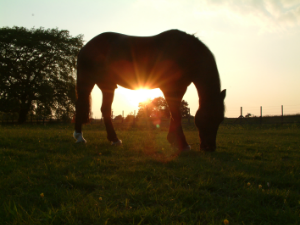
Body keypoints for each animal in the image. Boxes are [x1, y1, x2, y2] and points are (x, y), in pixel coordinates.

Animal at [74, 28, 226, 151]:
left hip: (108, 85)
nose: (209, 148)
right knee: (80, 104)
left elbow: (174, 113)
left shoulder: (179, 88)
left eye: (220, 119)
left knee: (105, 109)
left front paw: (173, 140)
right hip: (87, 81)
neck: (184, 52)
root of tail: (87, 46)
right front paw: (183, 145)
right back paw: (79, 137)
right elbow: (176, 114)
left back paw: (114, 140)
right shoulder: (169, 87)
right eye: (208, 117)